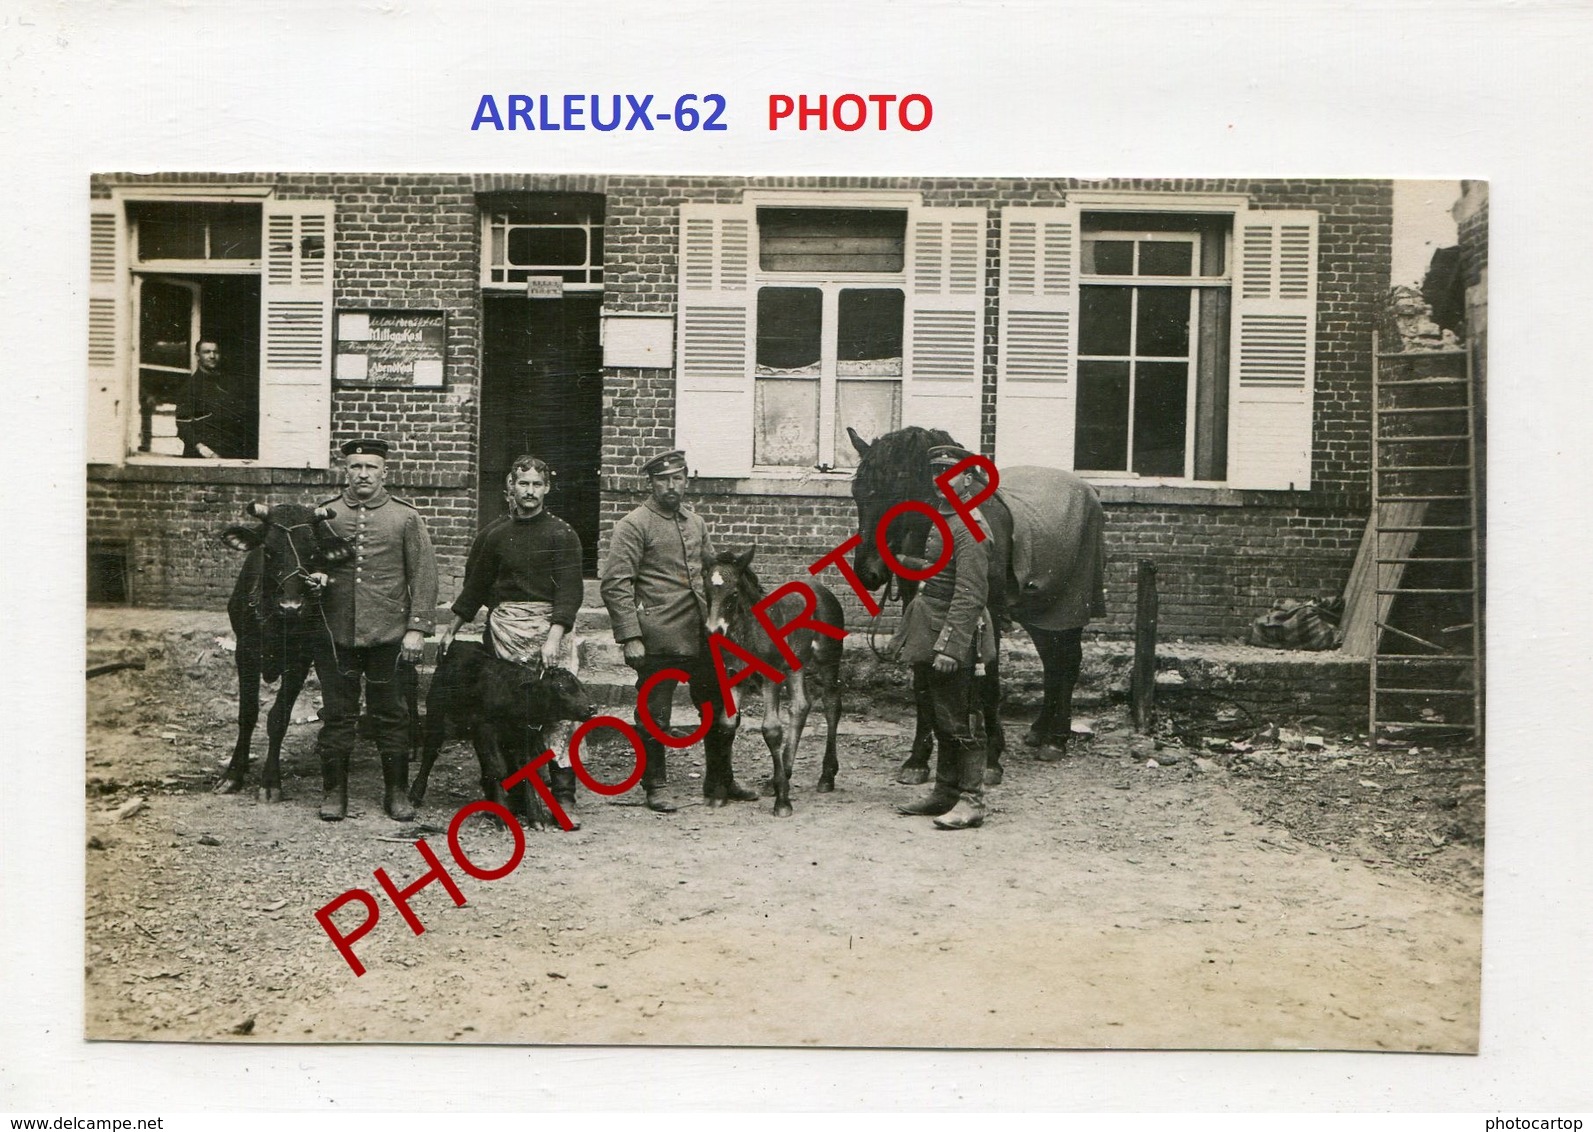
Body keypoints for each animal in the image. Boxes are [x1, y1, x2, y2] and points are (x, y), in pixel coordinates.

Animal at [700, 547, 847, 815]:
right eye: (706, 590)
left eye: (733, 593)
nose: (713, 631)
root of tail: (824, 591)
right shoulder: (734, 675)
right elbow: (726, 724)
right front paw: (720, 794)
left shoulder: (770, 678)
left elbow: (771, 730)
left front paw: (783, 802)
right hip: (795, 665)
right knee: (800, 706)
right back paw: (781, 776)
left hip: (828, 659)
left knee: (832, 704)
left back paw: (826, 776)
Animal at [847, 426, 1108, 780]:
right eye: (857, 492)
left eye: (899, 491)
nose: (868, 573)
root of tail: (1088, 490)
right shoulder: (919, 611)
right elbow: (923, 680)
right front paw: (918, 758)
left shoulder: (990, 613)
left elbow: (989, 682)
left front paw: (991, 759)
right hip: (1038, 613)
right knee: (1053, 662)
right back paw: (1040, 731)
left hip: (1068, 608)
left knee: (1068, 661)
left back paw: (1056, 739)